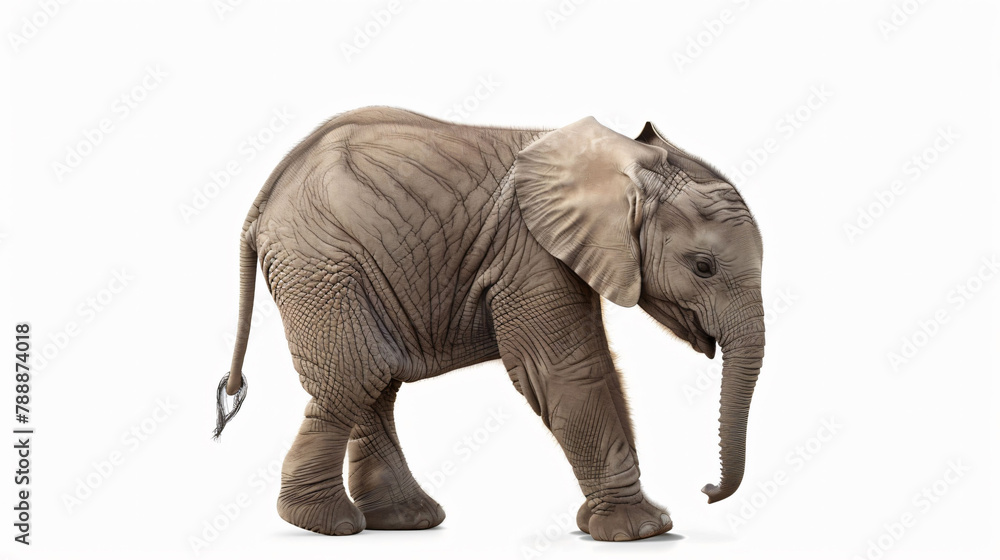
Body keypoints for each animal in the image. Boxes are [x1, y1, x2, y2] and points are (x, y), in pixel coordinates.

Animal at [213, 106, 765, 541]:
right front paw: (641, 531)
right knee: (354, 376)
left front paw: (613, 524)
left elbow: (594, 369)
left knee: (374, 382)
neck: (622, 160)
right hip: (321, 264)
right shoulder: (528, 251)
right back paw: (325, 525)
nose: (707, 490)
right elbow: (563, 371)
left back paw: (405, 520)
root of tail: (262, 201)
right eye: (703, 267)